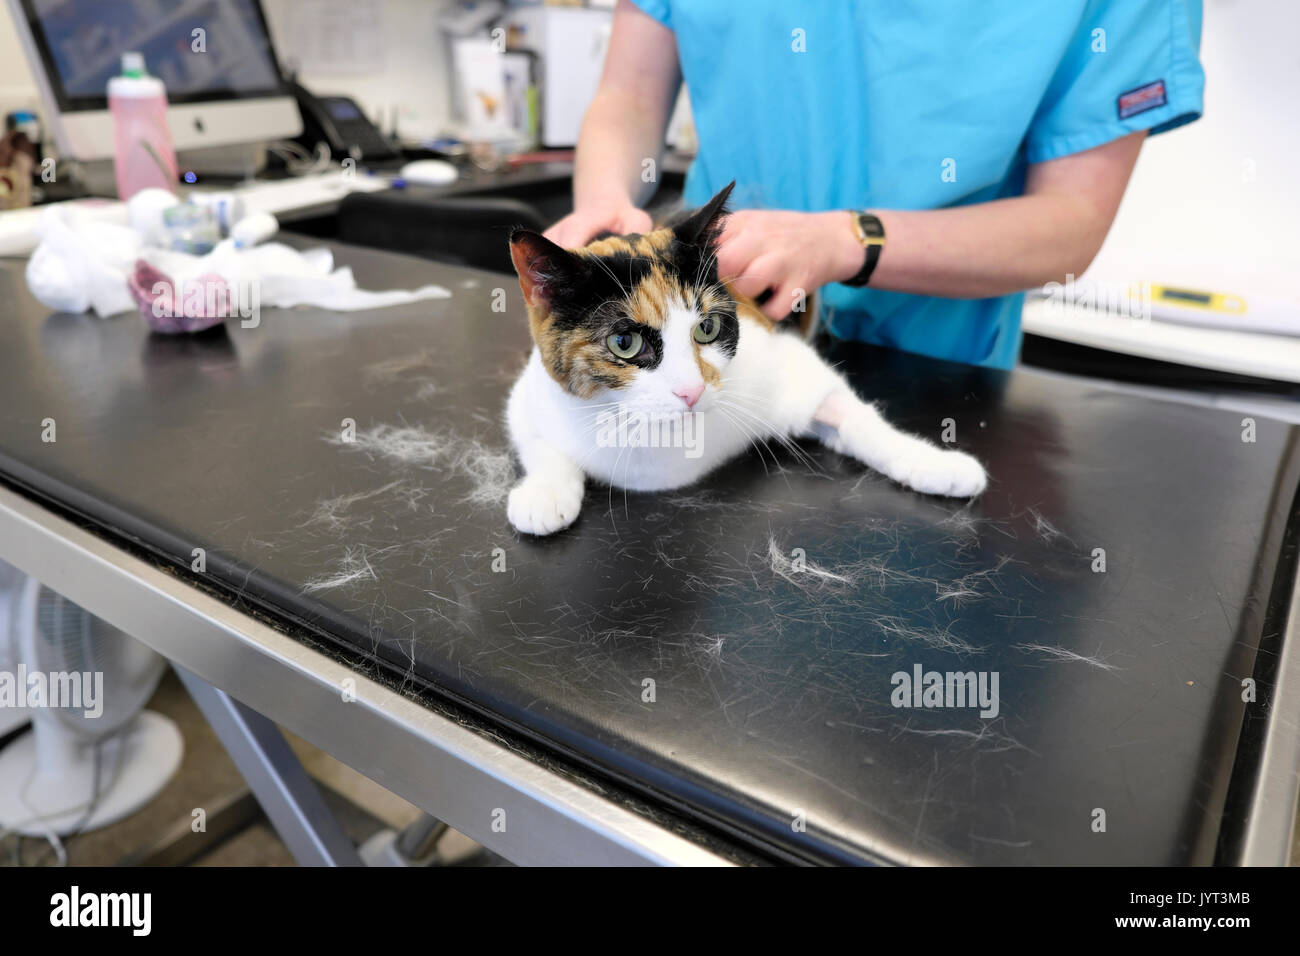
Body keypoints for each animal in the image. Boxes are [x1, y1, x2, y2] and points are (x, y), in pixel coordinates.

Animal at [499, 183, 982, 535]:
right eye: (624, 342)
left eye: (707, 328)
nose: (691, 392)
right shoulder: (530, 397)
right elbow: (539, 443)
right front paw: (544, 495)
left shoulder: (786, 364)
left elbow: (857, 419)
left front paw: (940, 466)